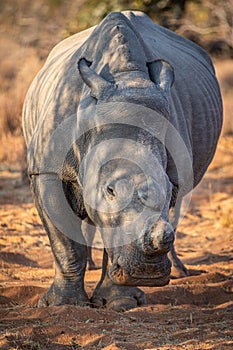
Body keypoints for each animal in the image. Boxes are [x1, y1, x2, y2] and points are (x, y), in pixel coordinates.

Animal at [21, 11, 222, 312]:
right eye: (110, 190)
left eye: (169, 189)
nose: (147, 275)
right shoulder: (45, 170)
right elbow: (64, 241)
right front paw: (63, 305)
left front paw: (121, 302)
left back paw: (181, 272)